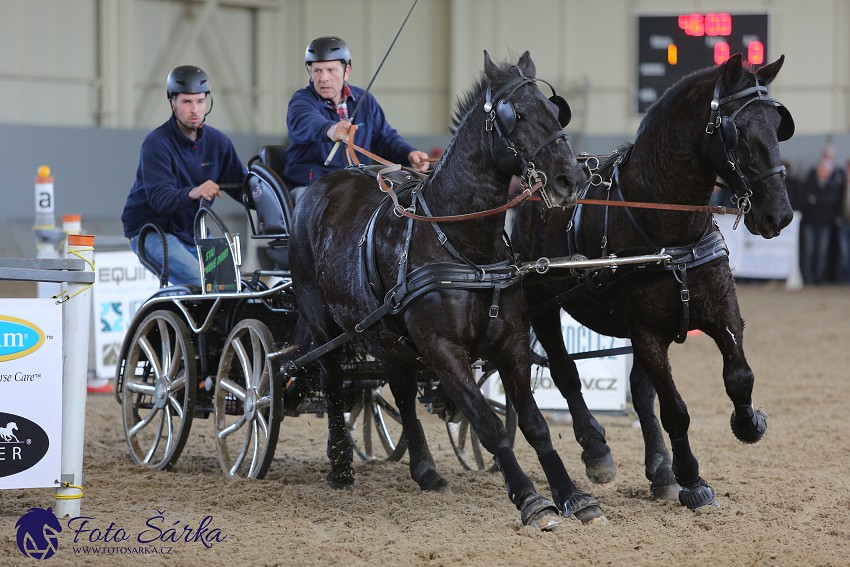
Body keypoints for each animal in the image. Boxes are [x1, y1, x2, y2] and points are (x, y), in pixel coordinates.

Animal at [286, 52, 604, 528]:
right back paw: (340, 466)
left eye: (555, 111)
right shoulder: (442, 348)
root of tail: (320, 188)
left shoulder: (510, 342)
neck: (462, 244)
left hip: (384, 334)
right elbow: (490, 425)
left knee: (399, 389)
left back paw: (425, 471)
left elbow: (534, 424)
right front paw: (531, 500)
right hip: (325, 326)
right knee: (335, 383)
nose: (571, 179)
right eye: (516, 115)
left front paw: (573, 496)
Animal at [512, 53, 792, 510]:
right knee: (565, 372)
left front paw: (750, 422)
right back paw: (597, 450)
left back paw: (660, 470)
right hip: (542, 302)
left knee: (640, 391)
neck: (670, 233)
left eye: (777, 121)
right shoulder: (645, 332)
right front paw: (693, 479)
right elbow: (675, 409)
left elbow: (739, 376)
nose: (780, 215)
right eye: (736, 131)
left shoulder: (721, 311)